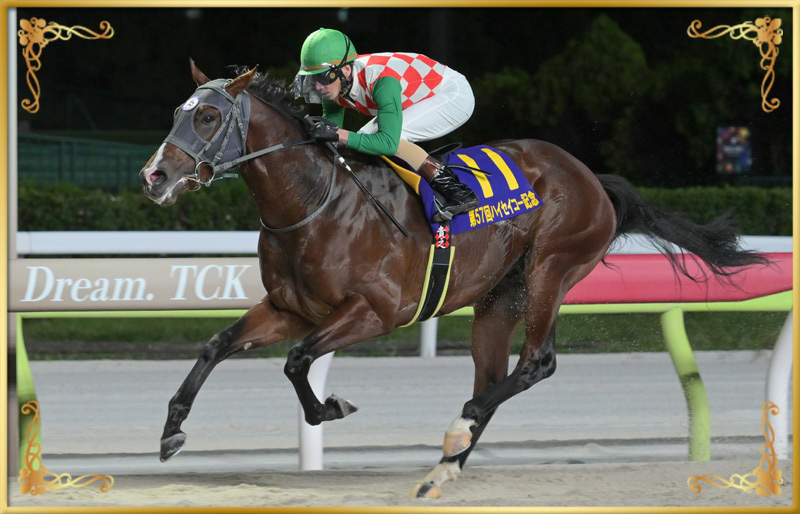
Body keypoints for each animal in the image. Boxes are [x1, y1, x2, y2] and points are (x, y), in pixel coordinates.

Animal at [138, 61, 766, 499]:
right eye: (176, 113)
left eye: (208, 117)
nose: (154, 176)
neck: (317, 201)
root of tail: (592, 178)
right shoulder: (291, 308)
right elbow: (217, 344)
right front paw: (170, 432)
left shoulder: (376, 311)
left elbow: (297, 363)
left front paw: (332, 407)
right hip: (497, 299)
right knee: (494, 376)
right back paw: (442, 469)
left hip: (550, 269)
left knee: (536, 363)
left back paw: (457, 431)